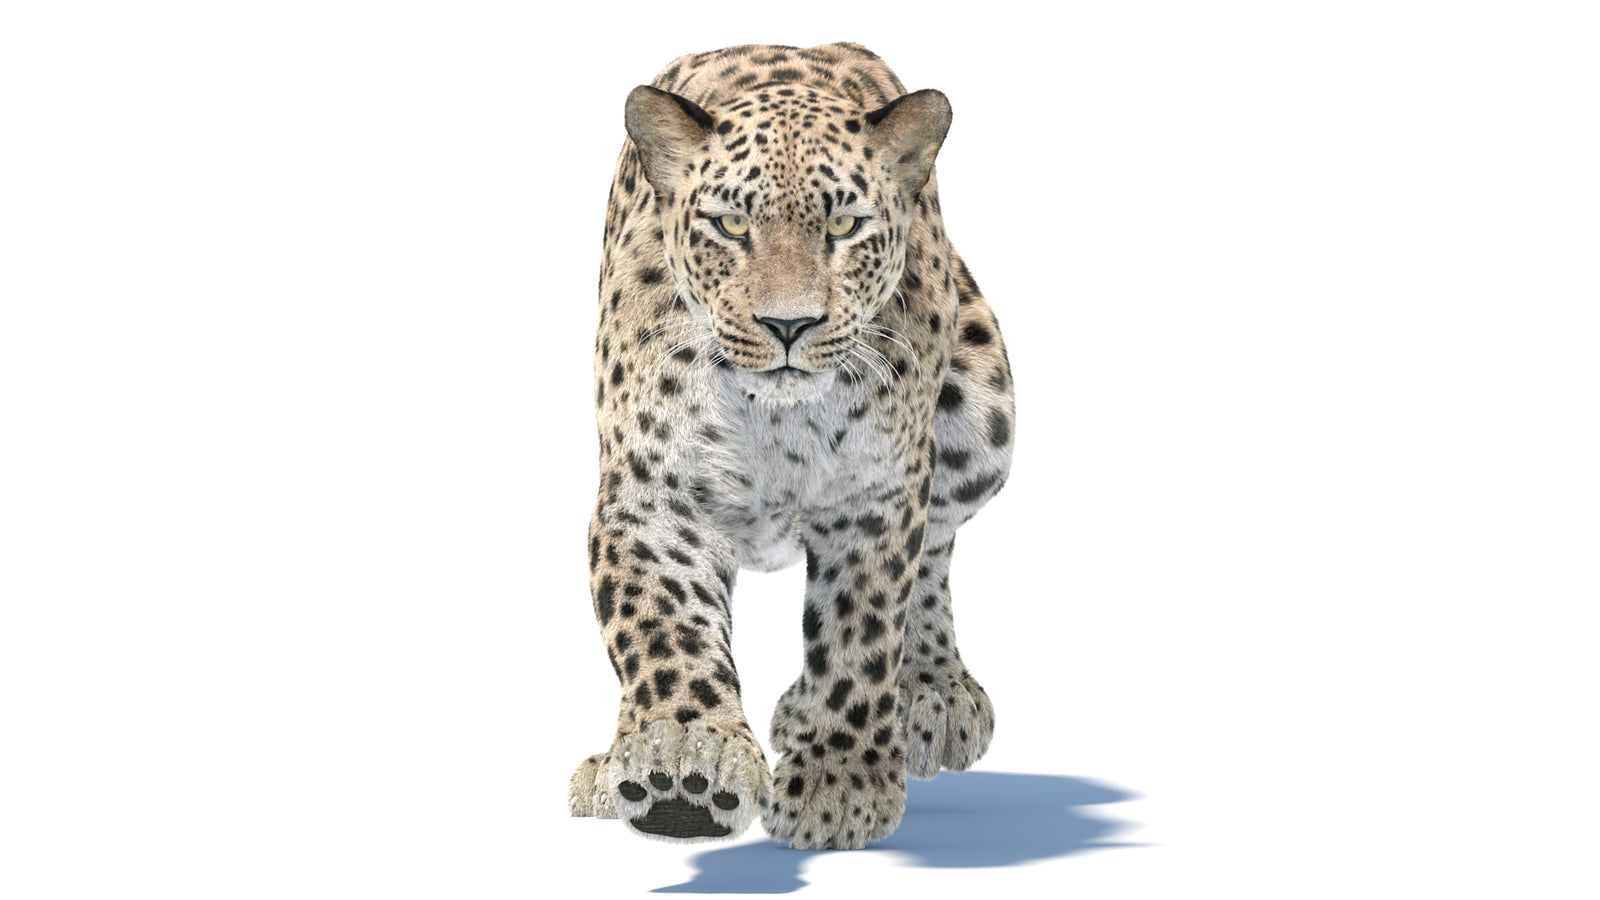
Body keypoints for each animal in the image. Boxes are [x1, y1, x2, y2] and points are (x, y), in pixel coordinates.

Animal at [566, 42, 1015, 851]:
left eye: (844, 226)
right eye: (729, 225)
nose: (788, 325)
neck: (776, 417)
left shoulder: (878, 493)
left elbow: (860, 631)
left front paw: (838, 783)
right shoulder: (653, 494)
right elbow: (662, 628)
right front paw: (683, 761)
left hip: (985, 411)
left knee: (936, 547)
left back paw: (929, 693)